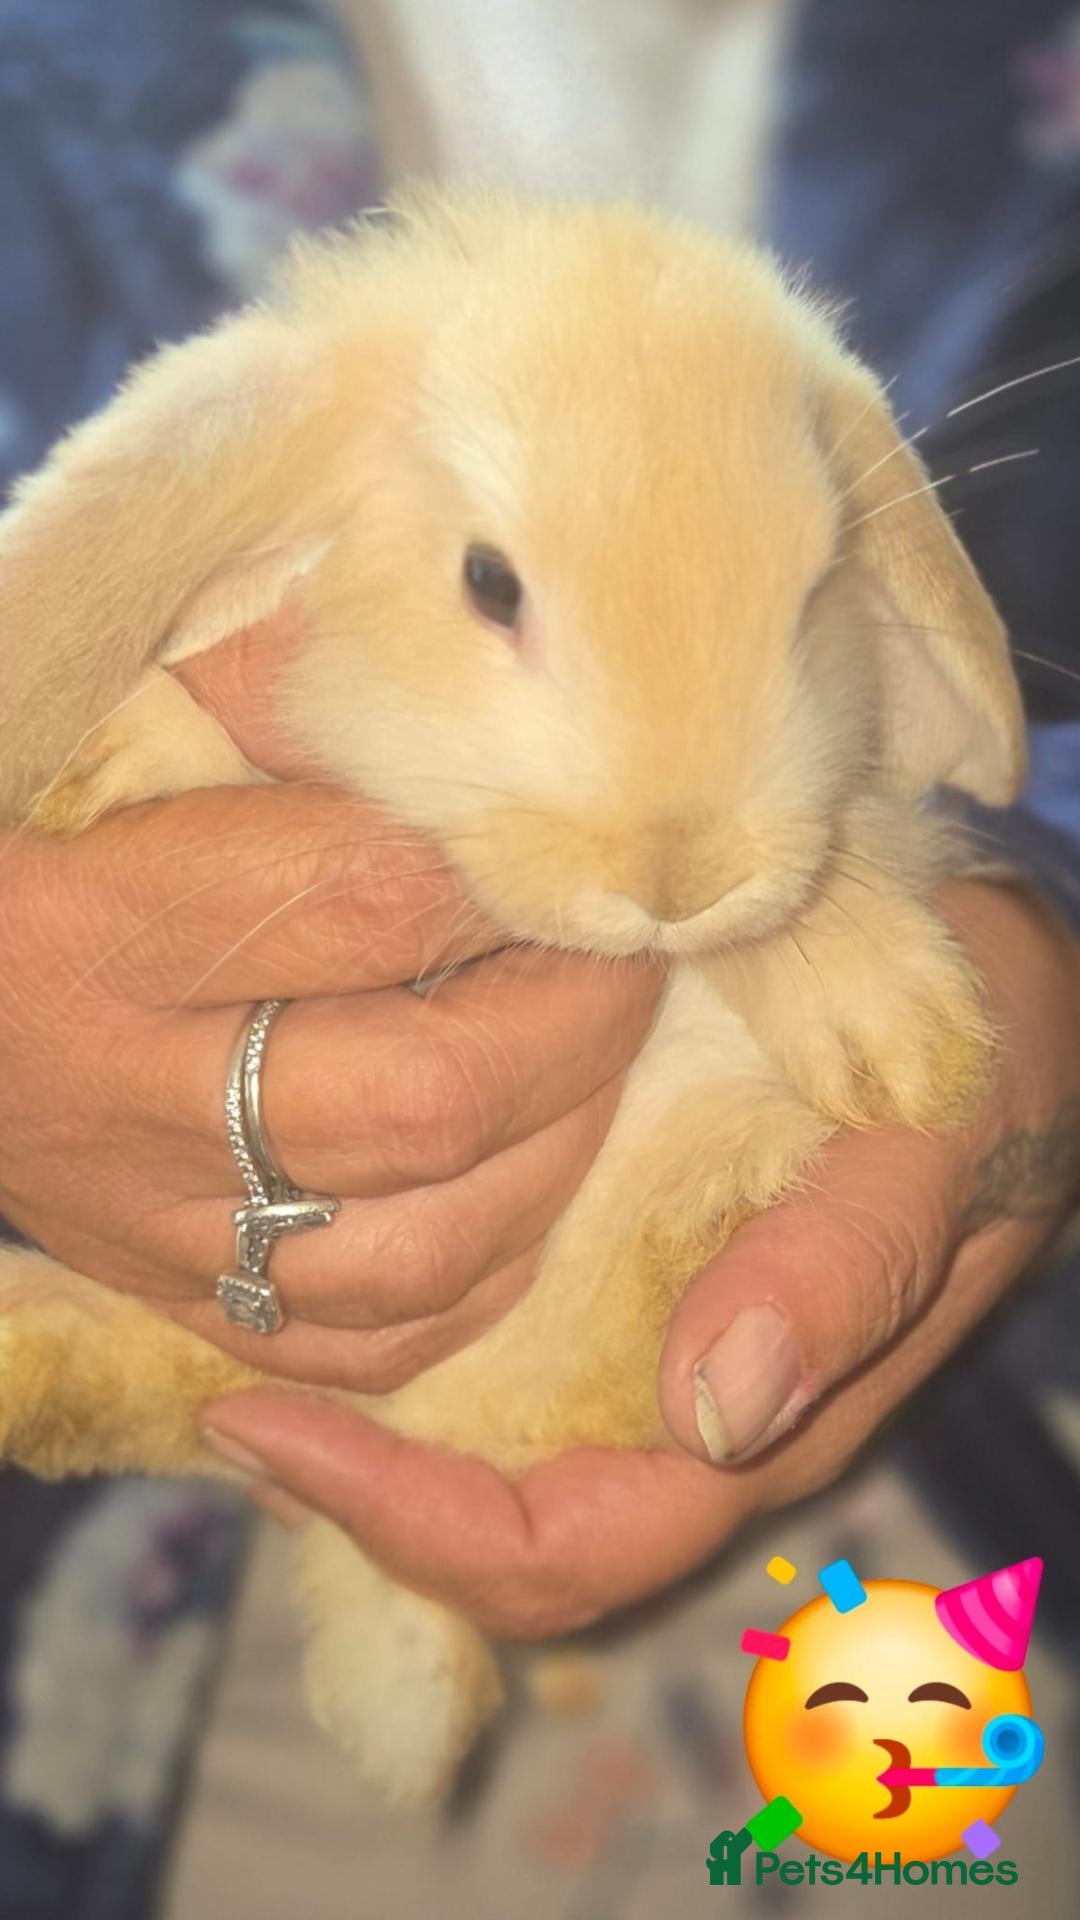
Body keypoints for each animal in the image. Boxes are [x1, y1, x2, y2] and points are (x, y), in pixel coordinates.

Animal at [0, 189, 1025, 1804]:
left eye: (816, 592)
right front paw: (103, 757)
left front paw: (909, 1044)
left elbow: (824, 886)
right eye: (490, 583)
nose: (676, 875)